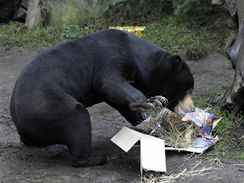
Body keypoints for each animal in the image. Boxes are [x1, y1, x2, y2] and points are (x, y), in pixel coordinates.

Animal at [10, 29, 194, 167]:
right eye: (187, 90)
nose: (191, 109)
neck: (134, 52)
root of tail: (19, 124)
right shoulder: (110, 58)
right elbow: (110, 83)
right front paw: (154, 101)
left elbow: (117, 99)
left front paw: (145, 122)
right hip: (48, 107)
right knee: (78, 120)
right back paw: (96, 159)